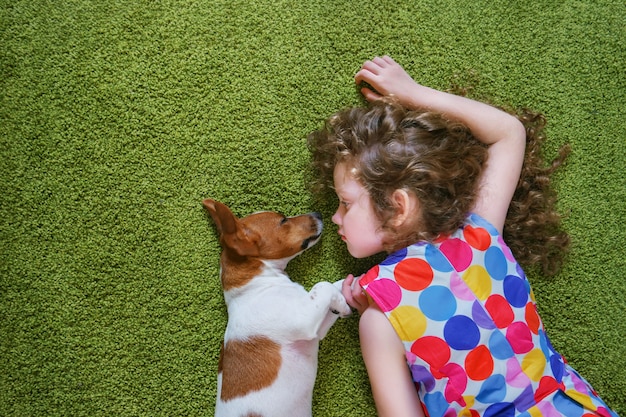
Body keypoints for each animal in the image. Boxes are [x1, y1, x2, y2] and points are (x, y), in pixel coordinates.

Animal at [204, 199, 352, 416]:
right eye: (283, 220)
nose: (318, 214)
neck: (256, 286)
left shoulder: (317, 328)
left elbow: (335, 285)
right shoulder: (305, 321)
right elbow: (323, 284)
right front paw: (343, 301)